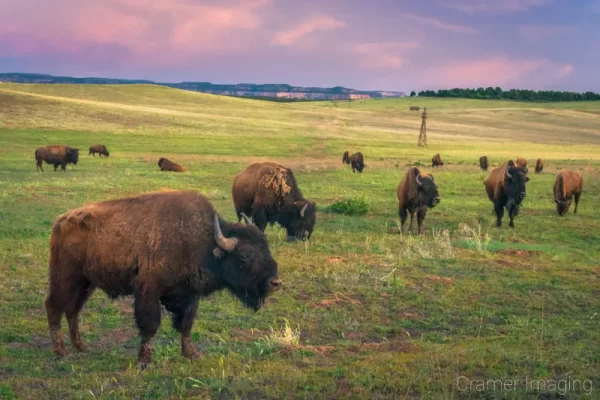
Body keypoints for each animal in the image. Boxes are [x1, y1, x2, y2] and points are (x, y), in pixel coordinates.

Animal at [45, 189, 282, 368]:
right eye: (245, 256)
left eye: (266, 248)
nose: (275, 283)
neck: (201, 241)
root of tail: (60, 221)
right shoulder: (149, 291)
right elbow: (150, 325)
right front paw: (144, 361)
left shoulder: (189, 295)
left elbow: (186, 325)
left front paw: (191, 354)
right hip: (66, 278)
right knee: (54, 306)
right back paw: (61, 351)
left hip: (86, 283)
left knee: (73, 310)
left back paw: (80, 346)